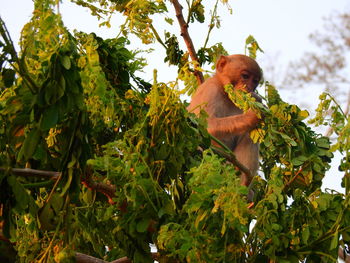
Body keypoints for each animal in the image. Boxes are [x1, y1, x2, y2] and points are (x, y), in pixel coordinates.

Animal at [187, 53, 262, 187]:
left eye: (254, 81)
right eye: (245, 76)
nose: (249, 88)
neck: (224, 92)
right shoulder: (210, 91)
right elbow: (206, 127)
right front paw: (253, 116)